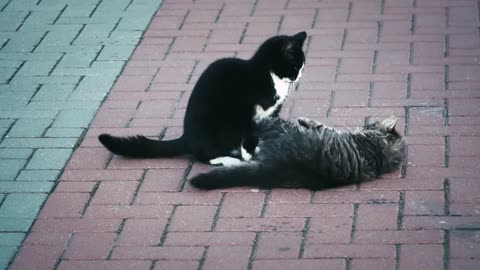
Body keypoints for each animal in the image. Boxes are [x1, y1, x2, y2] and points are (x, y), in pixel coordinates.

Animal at [98, 32, 308, 166]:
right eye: (296, 65)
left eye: (302, 66)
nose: (300, 76)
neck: (269, 75)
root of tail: (187, 137)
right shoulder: (245, 112)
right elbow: (249, 132)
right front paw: (248, 154)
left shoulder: (271, 113)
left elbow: (260, 132)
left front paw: (256, 149)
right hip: (217, 127)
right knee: (204, 155)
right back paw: (229, 159)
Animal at [189, 115, 404, 190]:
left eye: (371, 124)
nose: (365, 124)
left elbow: (319, 124)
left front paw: (305, 120)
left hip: (278, 126)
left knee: (256, 129)